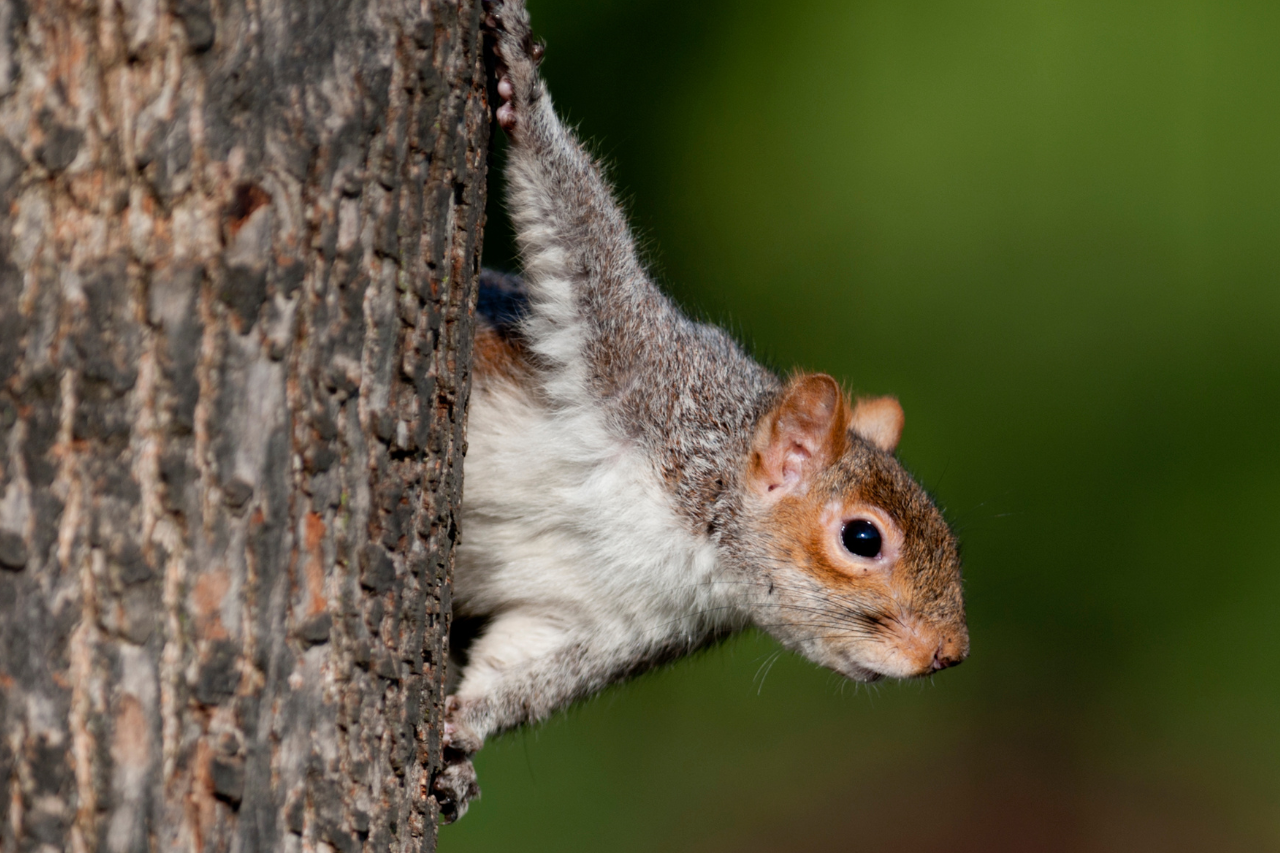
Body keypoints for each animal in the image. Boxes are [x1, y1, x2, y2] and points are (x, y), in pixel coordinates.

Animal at [434, 0, 970, 822]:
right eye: (862, 537)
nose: (951, 652)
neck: (694, 542)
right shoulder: (640, 371)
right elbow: (582, 236)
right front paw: (523, 81)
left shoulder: (605, 623)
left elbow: (523, 668)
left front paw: (463, 733)